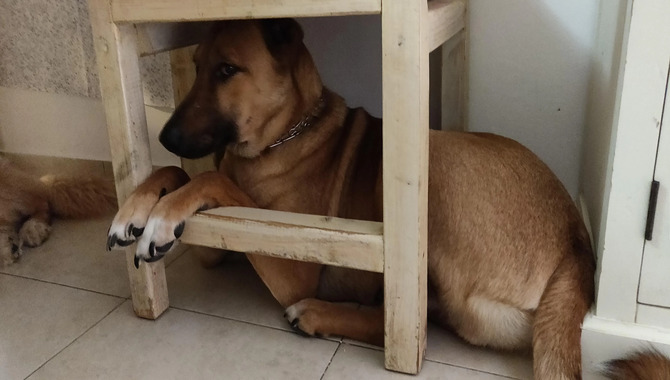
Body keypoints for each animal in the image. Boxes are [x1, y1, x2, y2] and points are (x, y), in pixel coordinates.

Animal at [109, 19, 600, 378]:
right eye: (195, 64)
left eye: (227, 70)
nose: (164, 137)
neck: (286, 134)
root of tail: (577, 243)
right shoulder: (219, 243)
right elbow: (176, 173)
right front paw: (135, 208)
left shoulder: (286, 258)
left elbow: (210, 179)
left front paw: (160, 216)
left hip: (431, 157)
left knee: (408, 324)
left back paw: (317, 312)